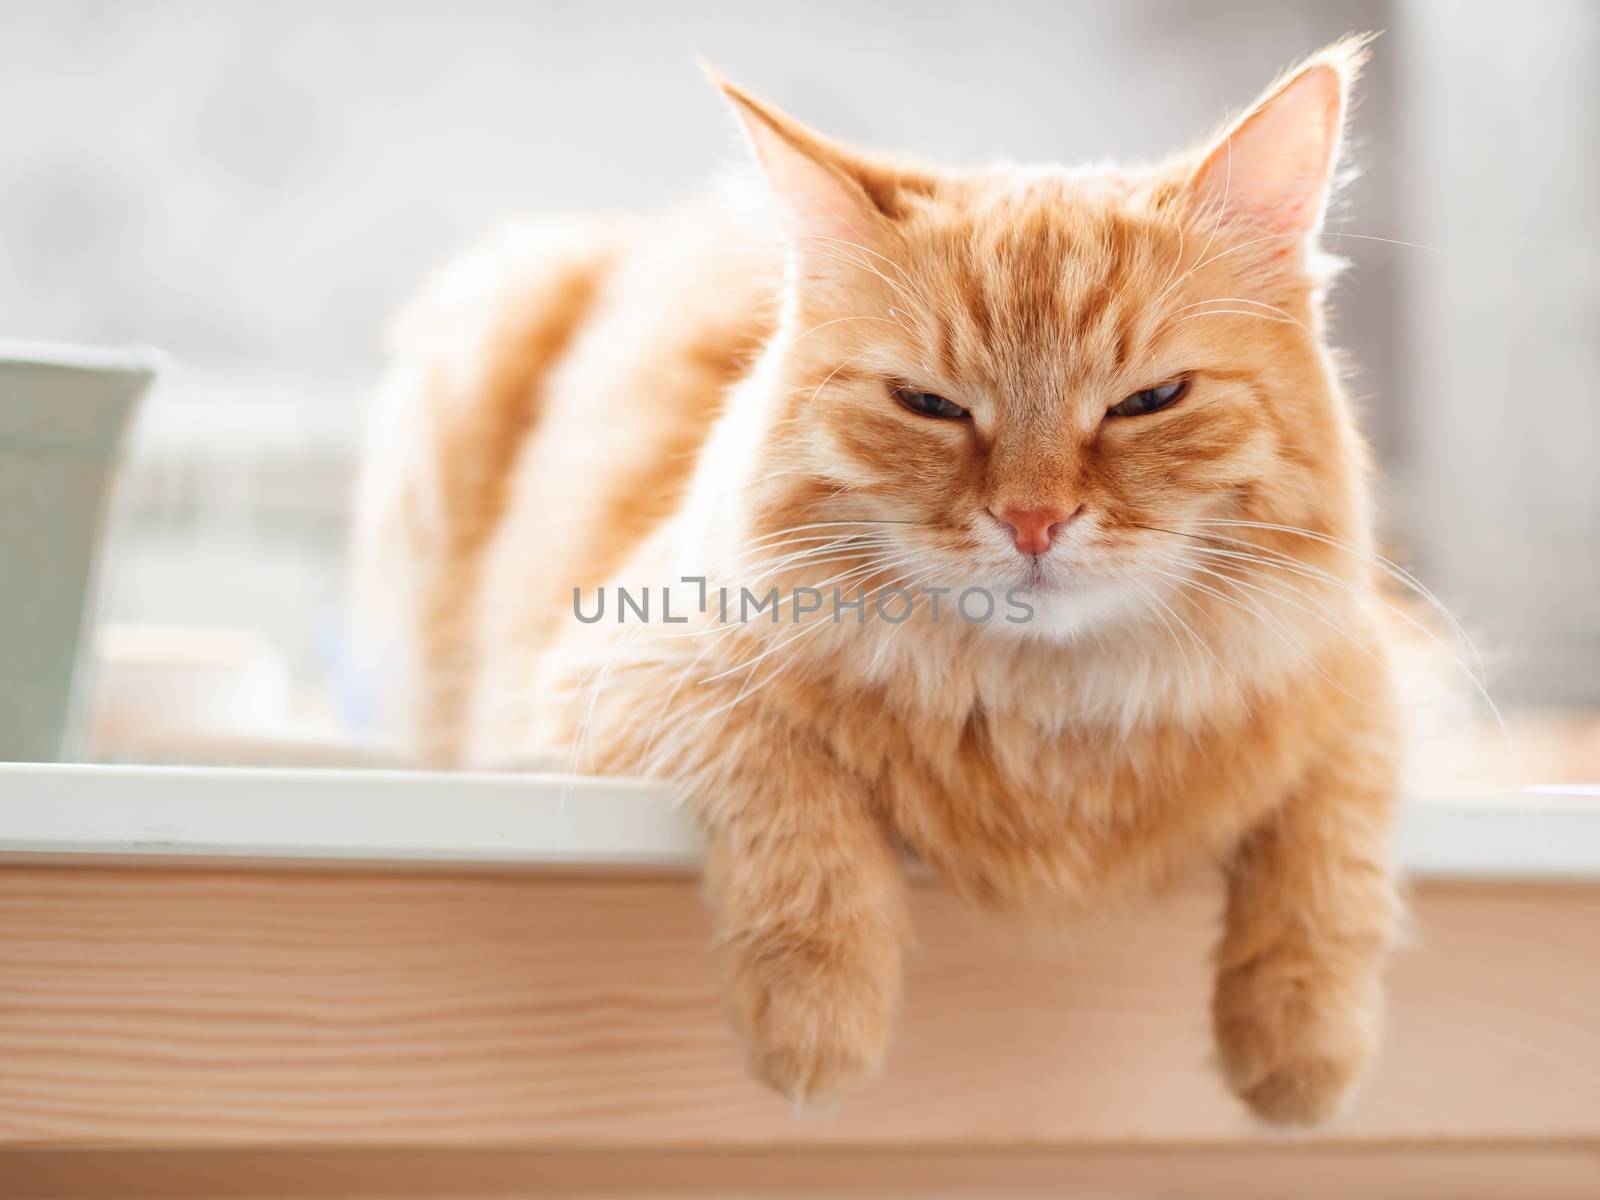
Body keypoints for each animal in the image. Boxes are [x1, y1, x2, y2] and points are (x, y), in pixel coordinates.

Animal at [360, 37, 1401, 1126]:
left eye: (1148, 401)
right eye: (929, 405)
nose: (1033, 520)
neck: (1046, 721)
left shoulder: (1375, 681)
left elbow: (1333, 854)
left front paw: (1301, 1054)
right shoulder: (626, 675)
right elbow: (794, 800)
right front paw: (819, 1023)